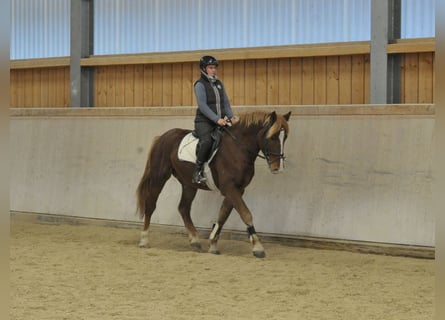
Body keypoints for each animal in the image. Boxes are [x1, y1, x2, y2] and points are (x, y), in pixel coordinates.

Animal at [135, 110, 292, 258]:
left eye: (285, 137)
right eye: (272, 137)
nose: (278, 168)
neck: (238, 149)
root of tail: (162, 137)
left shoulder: (237, 189)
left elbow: (223, 215)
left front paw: (213, 244)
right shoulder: (230, 188)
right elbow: (246, 214)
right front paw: (258, 248)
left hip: (188, 184)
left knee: (183, 208)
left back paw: (195, 241)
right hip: (159, 177)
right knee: (150, 205)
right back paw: (144, 240)